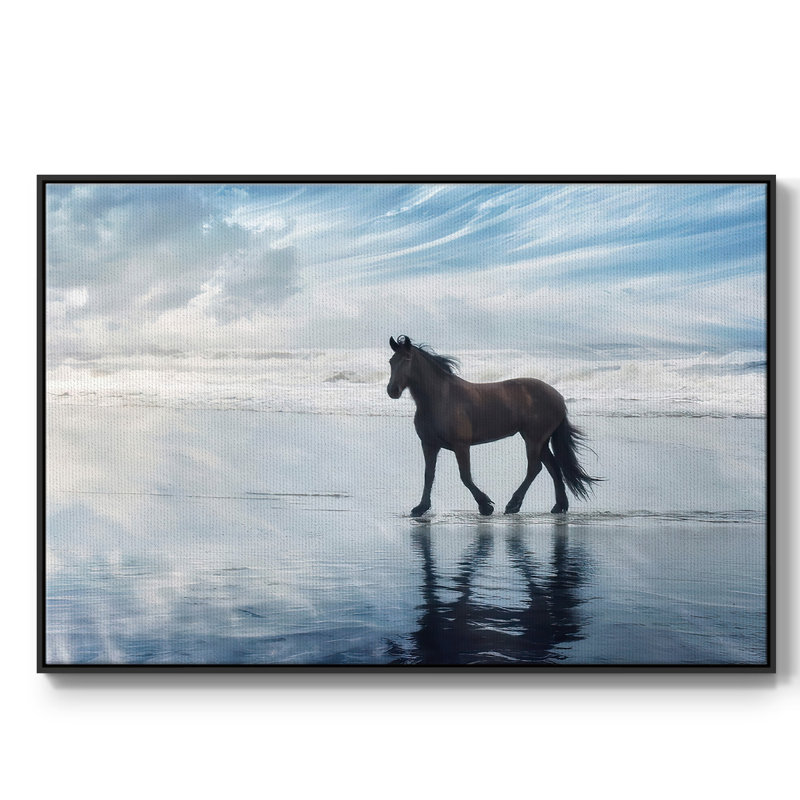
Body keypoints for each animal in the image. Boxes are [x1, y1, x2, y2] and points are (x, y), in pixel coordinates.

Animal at [386, 335, 600, 517]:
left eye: (407, 359)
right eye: (391, 361)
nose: (392, 391)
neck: (440, 399)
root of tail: (558, 397)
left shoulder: (461, 445)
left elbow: (465, 476)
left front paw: (485, 505)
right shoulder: (429, 445)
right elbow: (428, 475)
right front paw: (421, 507)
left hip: (534, 439)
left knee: (535, 468)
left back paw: (513, 504)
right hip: (540, 440)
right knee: (553, 467)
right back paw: (559, 506)